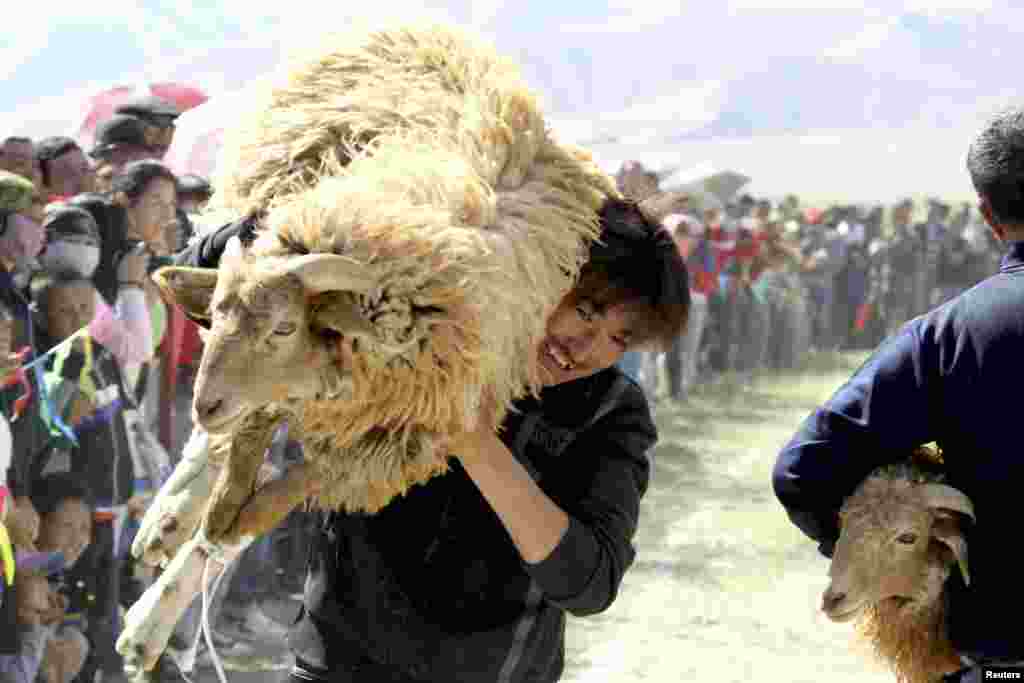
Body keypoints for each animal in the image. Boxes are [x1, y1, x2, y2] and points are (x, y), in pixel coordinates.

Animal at [117, 22, 618, 679]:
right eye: (220, 312)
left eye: (283, 328)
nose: (203, 402)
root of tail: (433, 28)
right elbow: (238, 478)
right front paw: (189, 534)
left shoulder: (388, 442)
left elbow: (256, 514)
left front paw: (195, 559)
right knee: (212, 448)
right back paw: (165, 519)